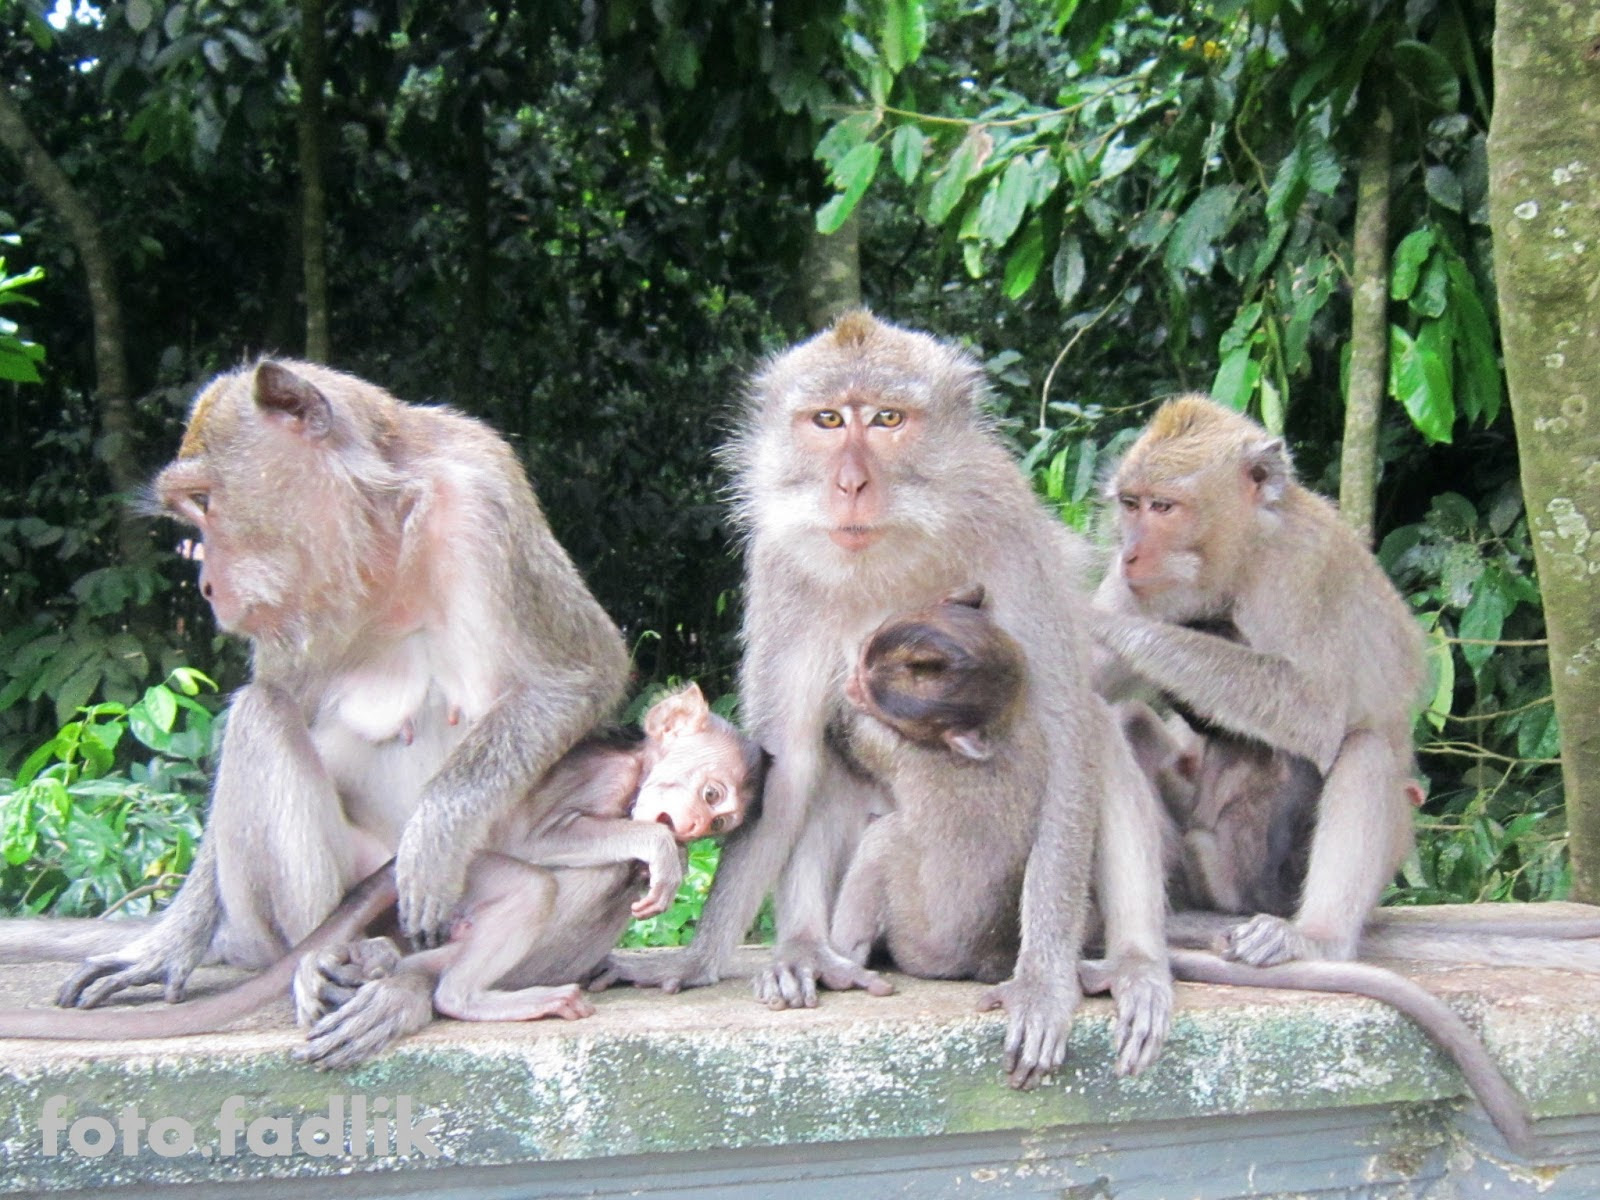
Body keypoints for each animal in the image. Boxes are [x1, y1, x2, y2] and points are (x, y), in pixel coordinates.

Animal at [595, 310, 1171, 1088]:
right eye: (829, 419)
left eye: (888, 419)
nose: (851, 484)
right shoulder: (779, 567)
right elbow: (788, 763)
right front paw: (693, 960)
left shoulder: (1011, 535)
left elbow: (1068, 733)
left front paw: (1044, 984)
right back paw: (808, 951)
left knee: (1101, 741)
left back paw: (1136, 963)